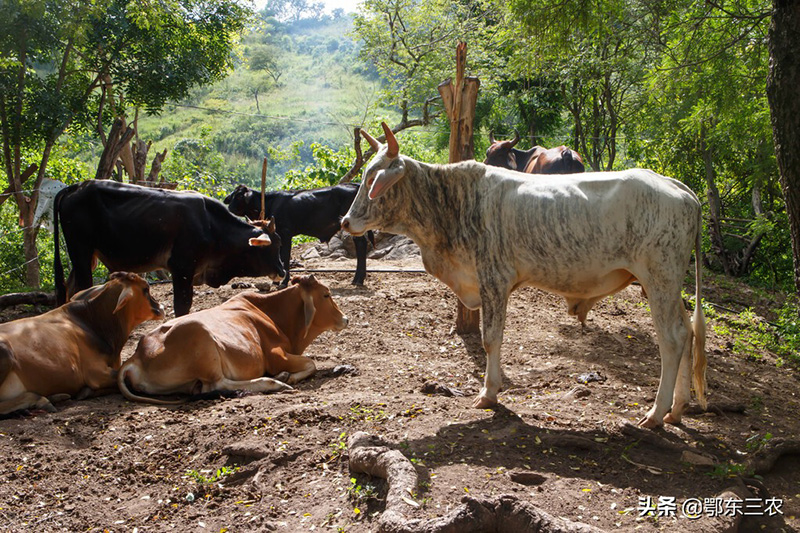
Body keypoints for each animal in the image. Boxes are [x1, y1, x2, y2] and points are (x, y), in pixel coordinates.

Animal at [0, 270, 165, 416]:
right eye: (145, 289)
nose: (161, 307)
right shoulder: (96, 373)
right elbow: (124, 379)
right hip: (6, 351)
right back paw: (42, 401)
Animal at [53, 181, 284, 314]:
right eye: (274, 245)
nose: (282, 272)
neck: (212, 226)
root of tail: (76, 187)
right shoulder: (181, 269)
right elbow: (182, 305)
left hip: (87, 257)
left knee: (70, 289)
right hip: (81, 253)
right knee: (81, 289)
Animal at [118, 274, 346, 404]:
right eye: (326, 294)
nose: (345, 318)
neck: (272, 313)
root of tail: (136, 356)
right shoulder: (276, 356)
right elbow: (311, 364)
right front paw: (289, 377)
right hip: (200, 335)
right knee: (216, 385)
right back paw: (275, 382)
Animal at [223, 183, 374, 286]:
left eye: (239, 195)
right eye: (233, 194)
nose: (228, 206)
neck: (270, 202)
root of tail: (355, 185)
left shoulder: (285, 233)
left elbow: (284, 256)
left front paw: (283, 281)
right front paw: (277, 281)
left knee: (361, 244)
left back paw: (357, 279)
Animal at [340, 121, 708, 428]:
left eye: (373, 180)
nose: (345, 221)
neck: (452, 202)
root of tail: (677, 186)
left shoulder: (494, 279)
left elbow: (491, 338)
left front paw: (488, 393)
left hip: (659, 279)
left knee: (672, 338)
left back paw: (656, 413)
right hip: (668, 286)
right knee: (687, 331)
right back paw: (677, 409)